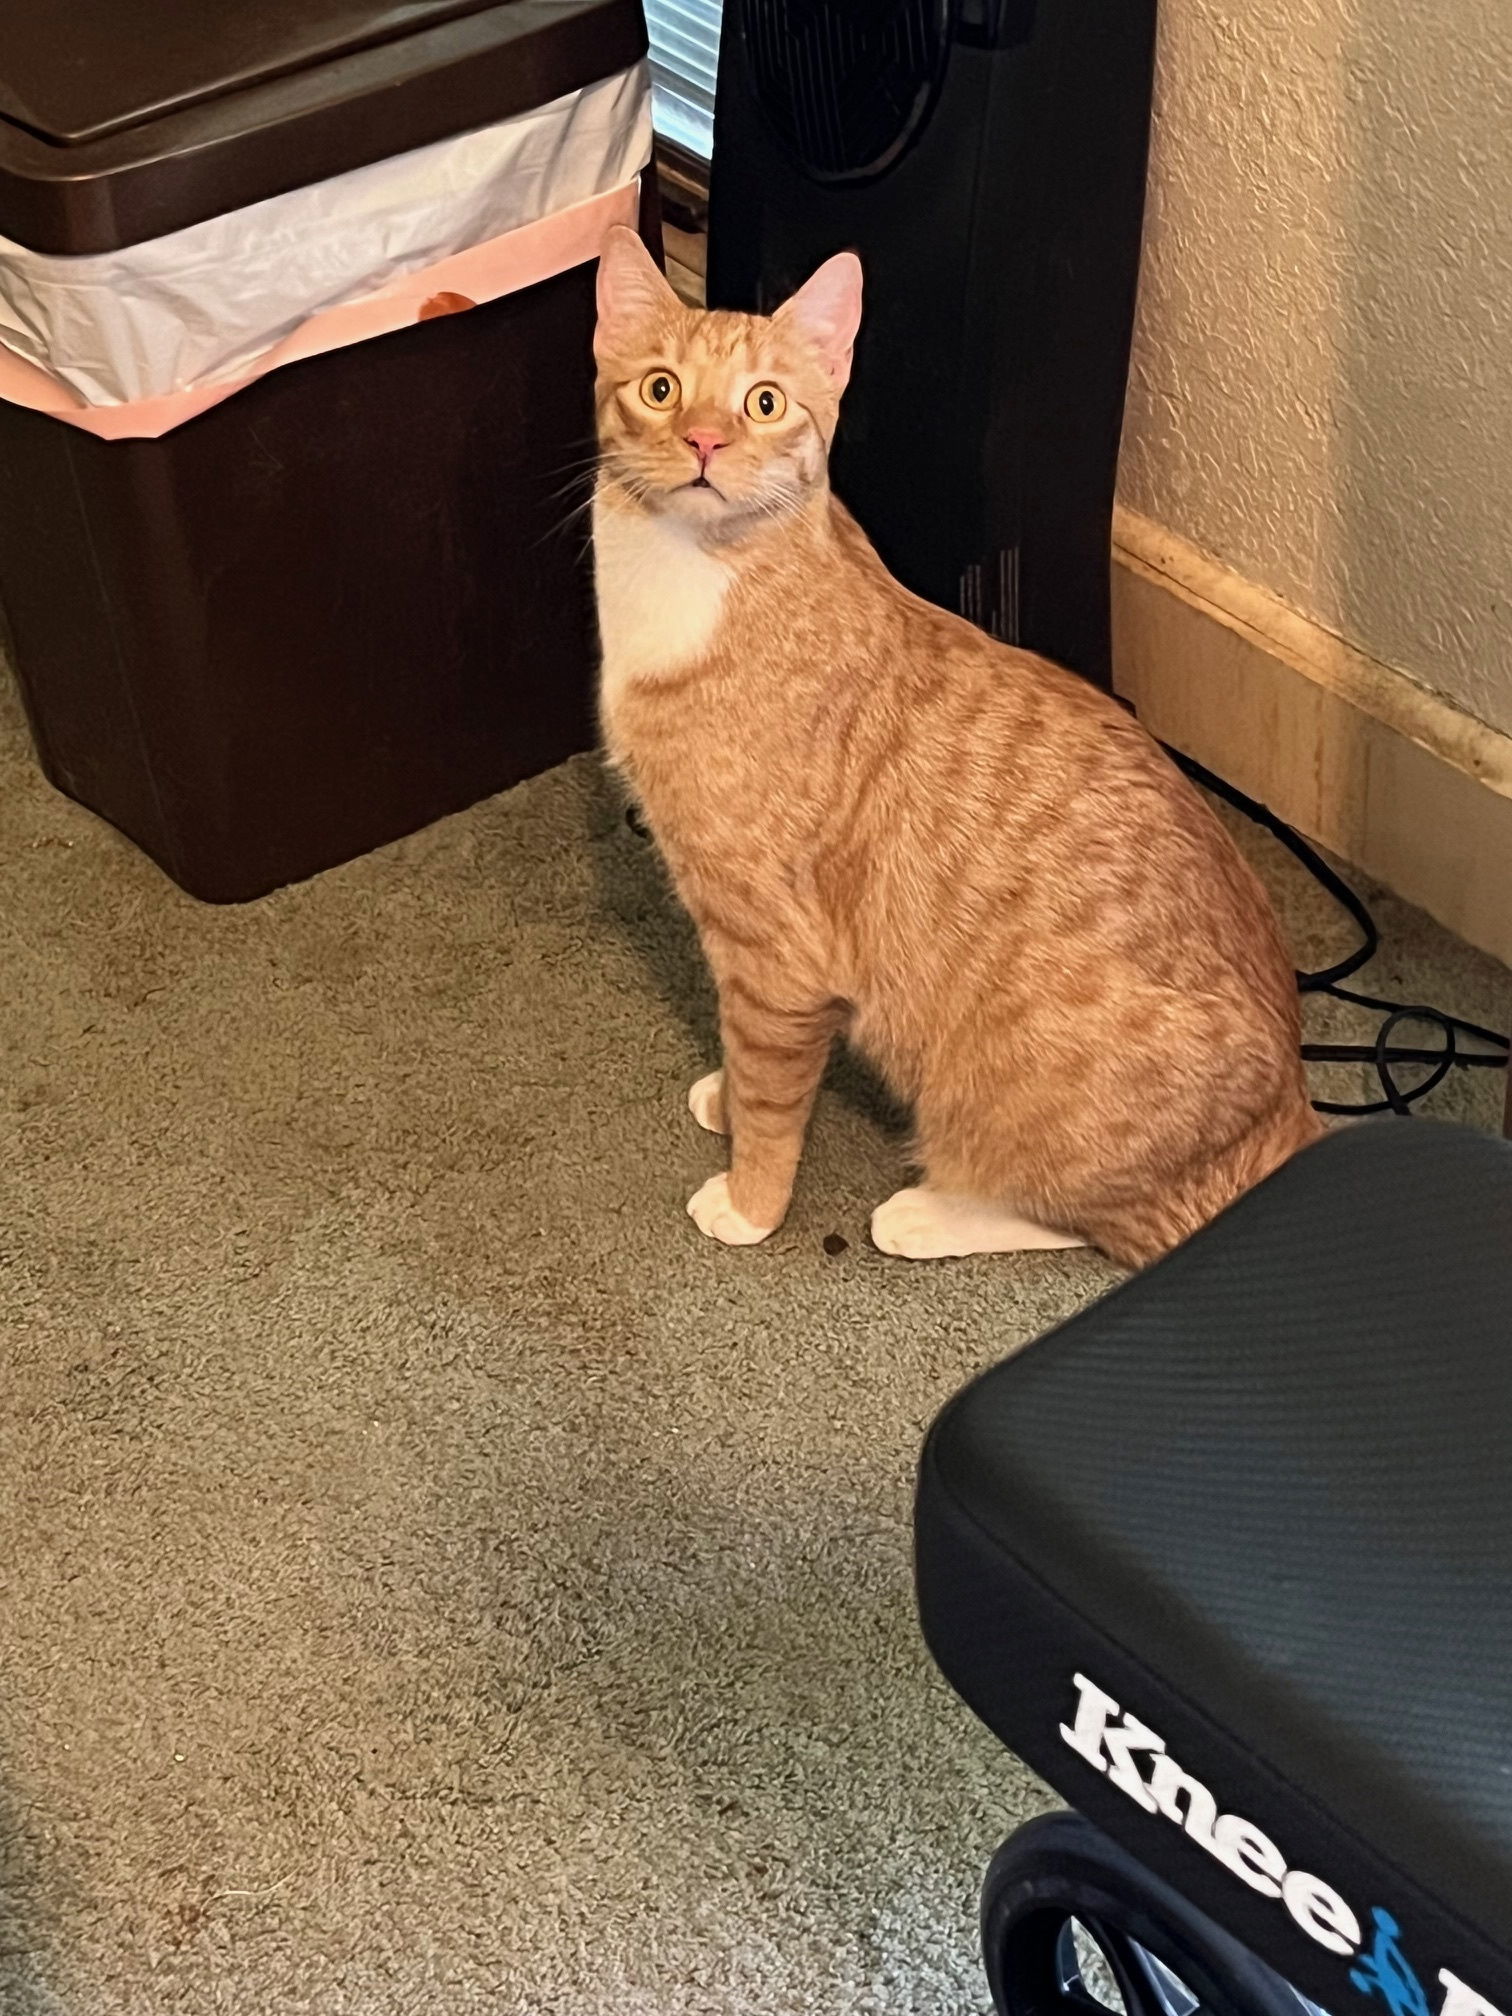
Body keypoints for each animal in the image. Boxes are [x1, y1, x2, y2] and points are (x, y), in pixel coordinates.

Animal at [596, 220, 1322, 1257]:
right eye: (661, 389)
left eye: (763, 403)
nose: (703, 440)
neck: (692, 577)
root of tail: (1296, 1111)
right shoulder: (748, 961)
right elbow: (743, 1054)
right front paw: (726, 1102)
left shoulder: (776, 955)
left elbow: (774, 1097)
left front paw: (750, 1198)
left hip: (1012, 1094)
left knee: (1114, 1225)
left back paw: (928, 1211)